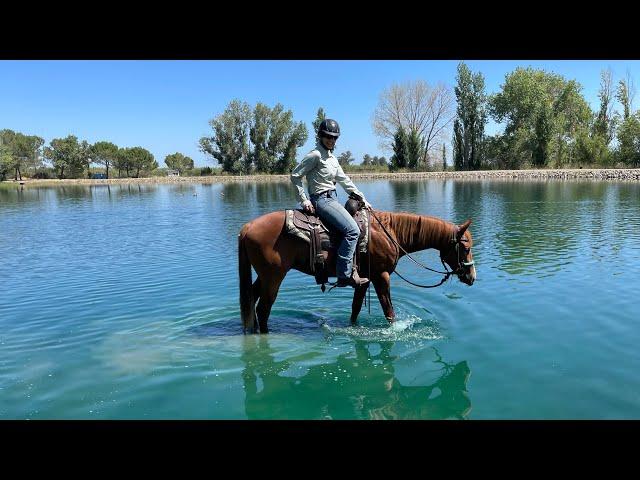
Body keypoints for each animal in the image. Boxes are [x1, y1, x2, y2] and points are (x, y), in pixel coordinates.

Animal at [240, 206, 476, 334]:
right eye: (466, 248)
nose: (472, 277)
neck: (390, 233)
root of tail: (248, 227)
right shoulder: (381, 277)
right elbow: (389, 311)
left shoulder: (364, 278)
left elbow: (355, 309)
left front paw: (351, 328)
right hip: (274, 276)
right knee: (263, 309)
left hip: (264, 277)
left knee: (252, 298)